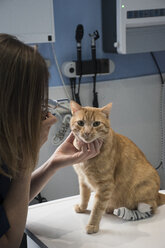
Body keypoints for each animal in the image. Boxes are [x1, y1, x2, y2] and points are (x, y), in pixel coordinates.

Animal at [70, 100, 165, 233]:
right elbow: (84, 196)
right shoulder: (83, 179)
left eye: (96, 124)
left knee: (150, 209)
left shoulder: (105, 185)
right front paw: (82, 208)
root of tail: (157, 194)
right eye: (80, 123)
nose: (87, 132)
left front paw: (92, 225)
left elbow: (97, 208)